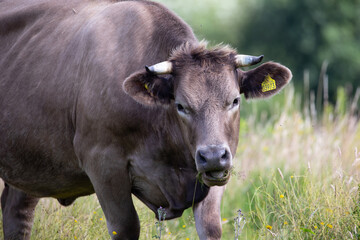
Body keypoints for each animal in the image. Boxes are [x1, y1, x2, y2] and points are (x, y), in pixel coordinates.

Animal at [0, 0, 292, 239]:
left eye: (234, 101)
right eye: (180, 105)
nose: (211, 156)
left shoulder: (217, 171)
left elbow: (211, 227)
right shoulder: (103, 164)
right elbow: (125, 227)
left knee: (16, 214)